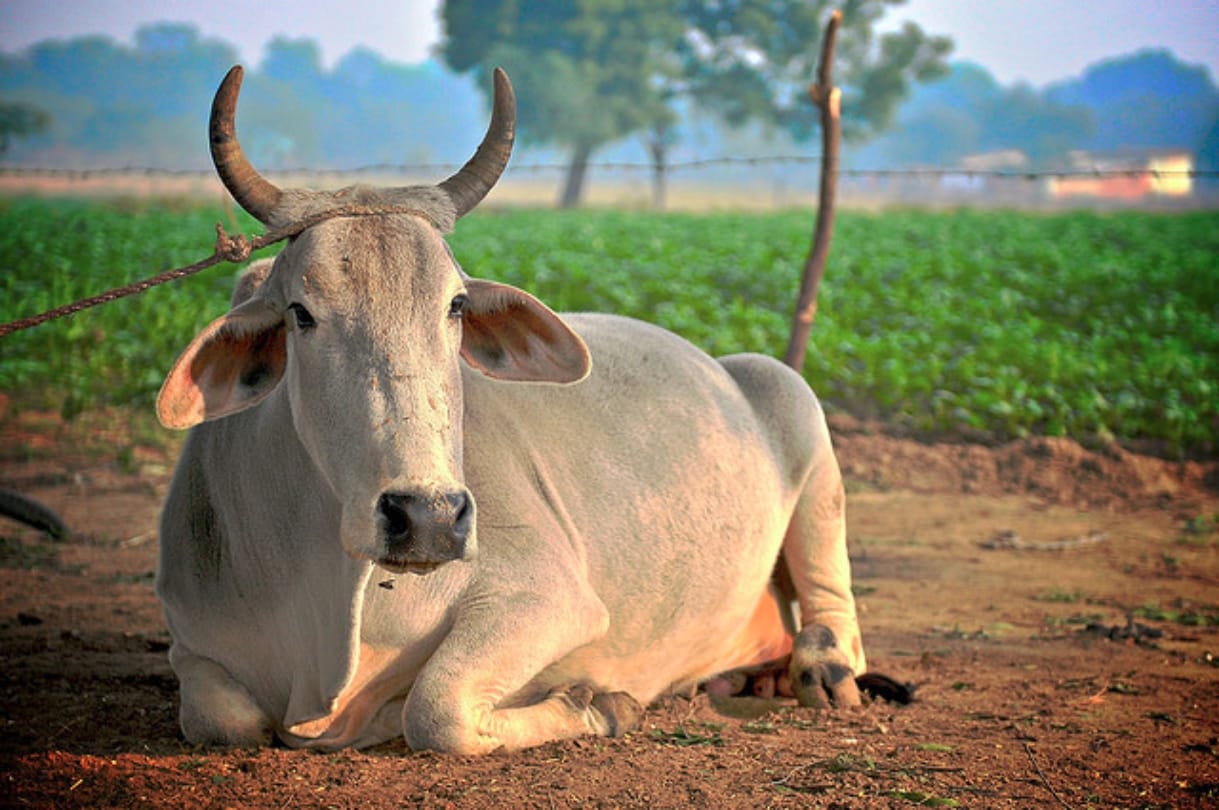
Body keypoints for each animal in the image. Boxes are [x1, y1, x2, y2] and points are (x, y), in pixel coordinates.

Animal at [154, 65, 866, 754]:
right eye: (301, 313)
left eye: (456, 306)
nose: (428, 519)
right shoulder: (194, 645)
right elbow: (222, 719)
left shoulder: (549, 599)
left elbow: (436, 709)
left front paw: (600, 705)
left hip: (794, 402)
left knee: (832, 601)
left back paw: (820, 667)